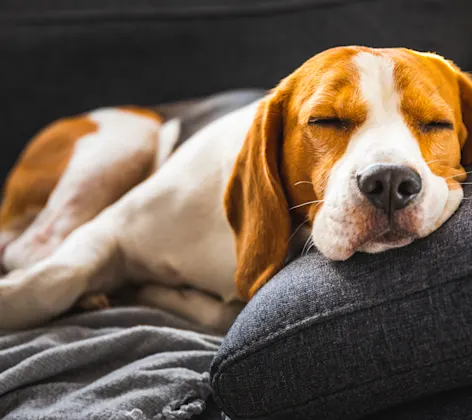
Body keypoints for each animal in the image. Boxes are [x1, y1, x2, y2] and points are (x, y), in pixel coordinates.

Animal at [0, 46, 472, 332]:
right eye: (325, 120)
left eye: (437, 124)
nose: (390, 181)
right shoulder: (106, 229)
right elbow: (53, 279)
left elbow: (223, 313)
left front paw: (154, 292)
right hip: (124, 139)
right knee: (30, 248)